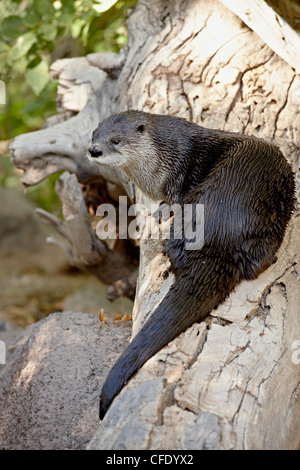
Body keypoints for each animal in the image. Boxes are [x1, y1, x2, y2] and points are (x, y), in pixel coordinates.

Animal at [88, 110, 296, 418]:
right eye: (94, 134)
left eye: (116, 139)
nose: (94, 149)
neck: (161, 161)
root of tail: (219, 232)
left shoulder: (179, 176)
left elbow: (174, 199)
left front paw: (162, 210)